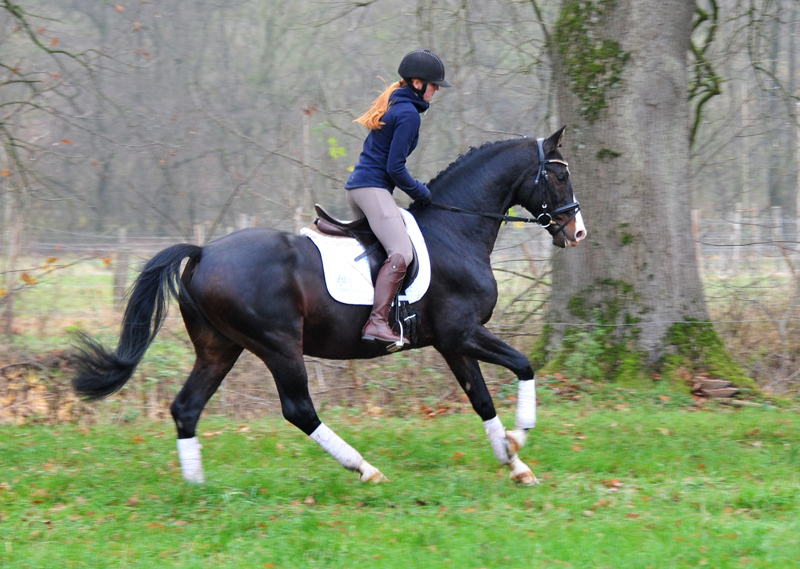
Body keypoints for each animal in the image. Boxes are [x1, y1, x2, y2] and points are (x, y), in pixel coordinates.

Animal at [73, 126, 588, 486]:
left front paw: (515, 464)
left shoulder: (452, 343)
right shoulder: (462, 333)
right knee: (298, 409)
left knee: (186, 408)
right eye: (560, 174)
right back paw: (366, 469)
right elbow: (523, 365)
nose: (577, 232)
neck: (455, 231)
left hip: (219, 349)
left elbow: (480, 398)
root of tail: (202, 252)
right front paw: (519, 438)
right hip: (278, 345)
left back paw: (198, 488)